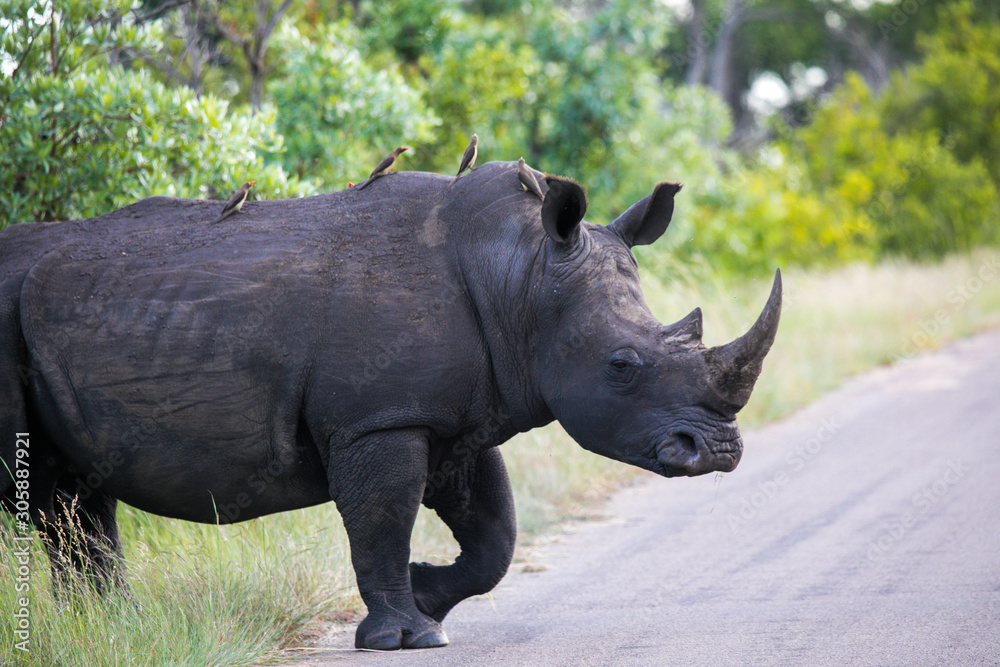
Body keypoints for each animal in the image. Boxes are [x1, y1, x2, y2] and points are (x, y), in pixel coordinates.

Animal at [0, 161, 780, 650]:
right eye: (622, 365)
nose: (719, 451)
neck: (521, 276)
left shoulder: (452, 415)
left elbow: (495, 535)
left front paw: (427, 592)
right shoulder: (380, 418)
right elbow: (383, 521)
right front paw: (405, 636)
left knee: (74, 498)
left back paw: (116, 629)